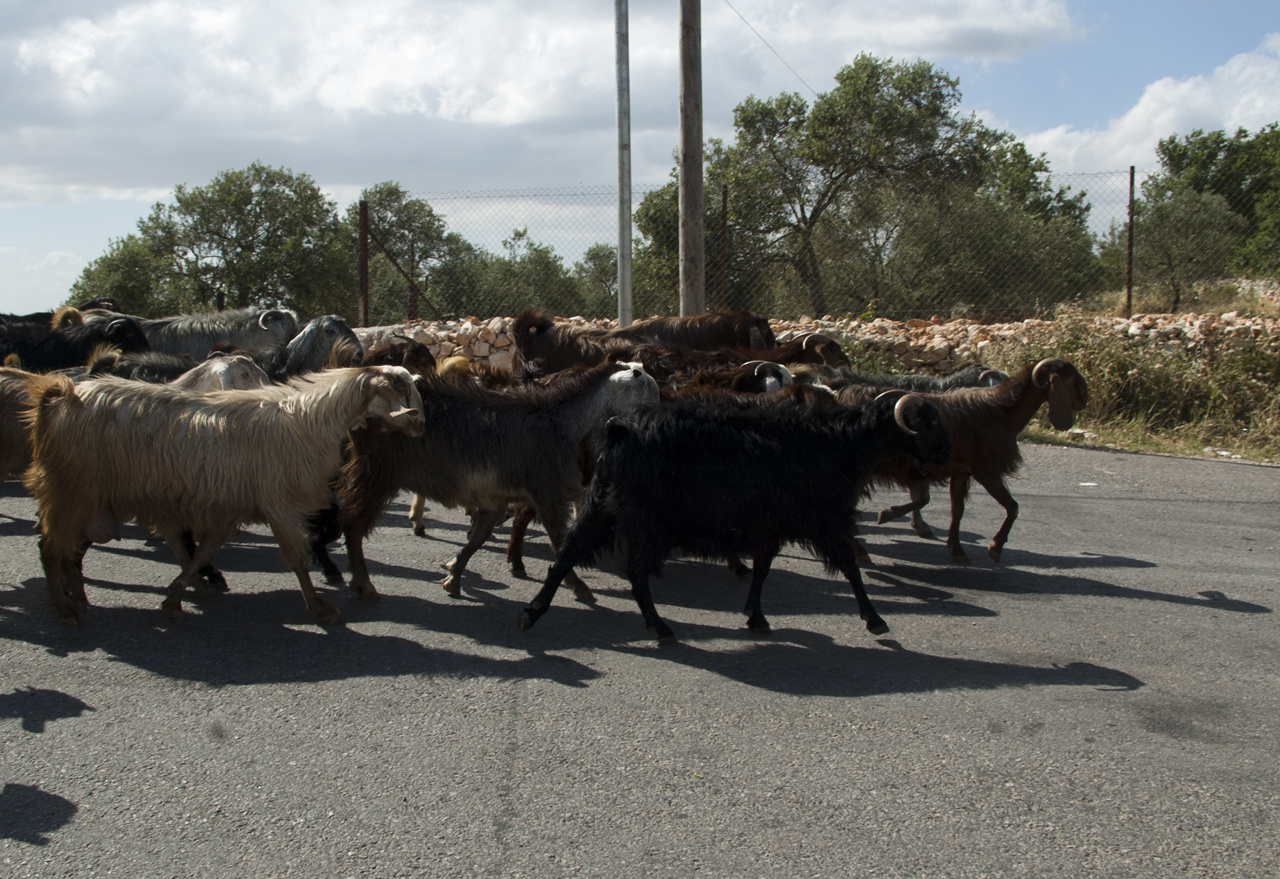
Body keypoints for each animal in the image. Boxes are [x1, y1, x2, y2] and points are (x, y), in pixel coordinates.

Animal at [24, 363, 424, 626]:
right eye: (401, 389)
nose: (421, 423)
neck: (308, 421)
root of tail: (61, 395)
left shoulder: (230, 505)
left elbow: (204, 552)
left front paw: (176, 596)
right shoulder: (277, 502)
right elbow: (297, 558)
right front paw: (321, 608)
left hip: (92, 498)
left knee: (71, 550)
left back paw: (79, 598)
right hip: (72, 491)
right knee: (51, 548)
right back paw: (64, 607)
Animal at [517, 396, 952, 642]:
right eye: (928, 422)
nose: (945, 454)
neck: (843, 444)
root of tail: (619, 427)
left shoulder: (770, 525)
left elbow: (762, 568)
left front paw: (755, 617)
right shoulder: (826, 519)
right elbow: (849, 567)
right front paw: (875, 620)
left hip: (602, 505)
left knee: (567, 555)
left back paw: (532, 612)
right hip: (647, 518)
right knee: (636, 573)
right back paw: (660, 628)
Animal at [839, 358, 1090, 562]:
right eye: (1070, 377)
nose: (1085, 400)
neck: (1003, 412)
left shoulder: (961, 471)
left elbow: (956, 509)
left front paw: (957, 549)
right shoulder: (986, 470)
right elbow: (1012, 506)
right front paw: (996, 548)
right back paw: (859, 550)